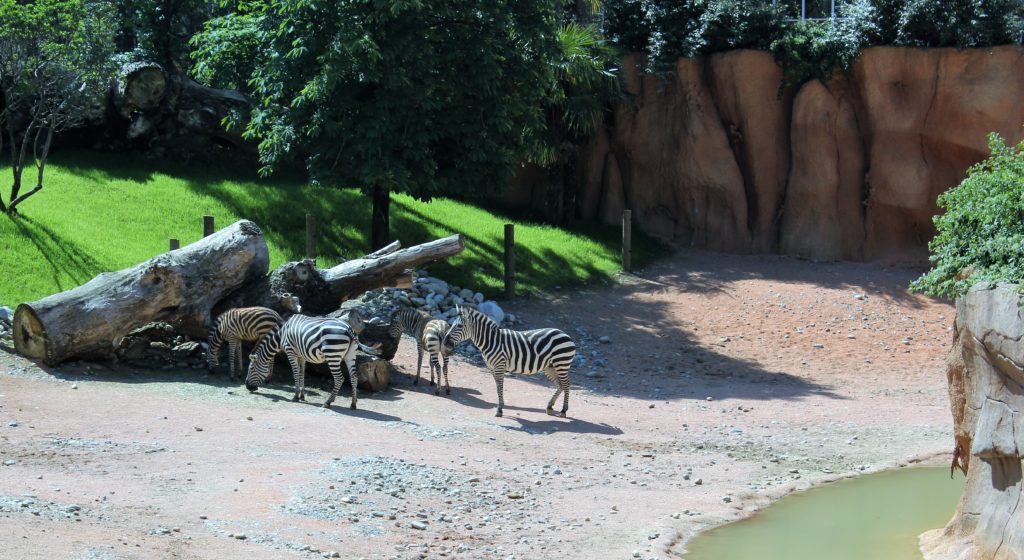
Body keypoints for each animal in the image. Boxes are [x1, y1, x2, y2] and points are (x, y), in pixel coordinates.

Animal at [243, 313, 376, 409]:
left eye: (251, 369)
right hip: (351, 355)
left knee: (339, 378)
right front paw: (302, 395)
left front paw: (296, 396)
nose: (248, 387)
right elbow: (302, 373)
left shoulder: (290, 351)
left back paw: (327, 402)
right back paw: (353, 404)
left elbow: (295, 373)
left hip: (332, 354)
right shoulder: (301, 355)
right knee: (354, 377)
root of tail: (349, 328)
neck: (281, 335)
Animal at [446, 307, 581, 415]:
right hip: (550, 367)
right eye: (452, 324)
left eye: (459, 326)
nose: (446, 342)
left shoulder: (499, 366)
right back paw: (549, 407)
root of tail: (565, 334)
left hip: (561, 364)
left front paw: (499, 410)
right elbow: (497, 387)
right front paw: (500, 406)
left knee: (566, 385)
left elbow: (500, 387)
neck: (491, 341)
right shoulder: (491, 368)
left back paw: (563, 410)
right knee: (560, 385)